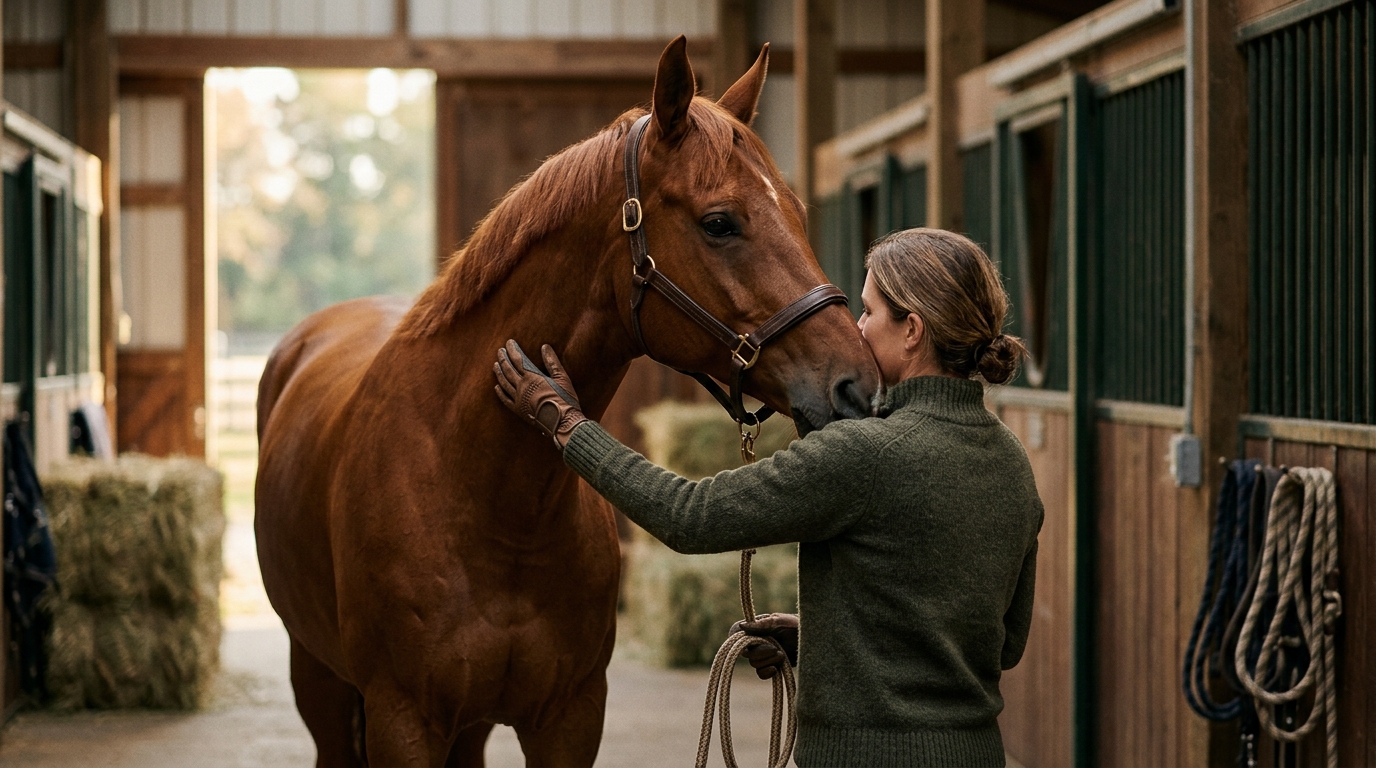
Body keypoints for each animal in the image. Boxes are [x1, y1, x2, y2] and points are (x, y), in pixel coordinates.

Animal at [254, 36, 881, 767]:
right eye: (720, 222)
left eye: (799, 214)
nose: (855, 385)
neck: (488, 500)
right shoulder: (401, 721)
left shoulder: (571, 717)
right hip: (318, 680)